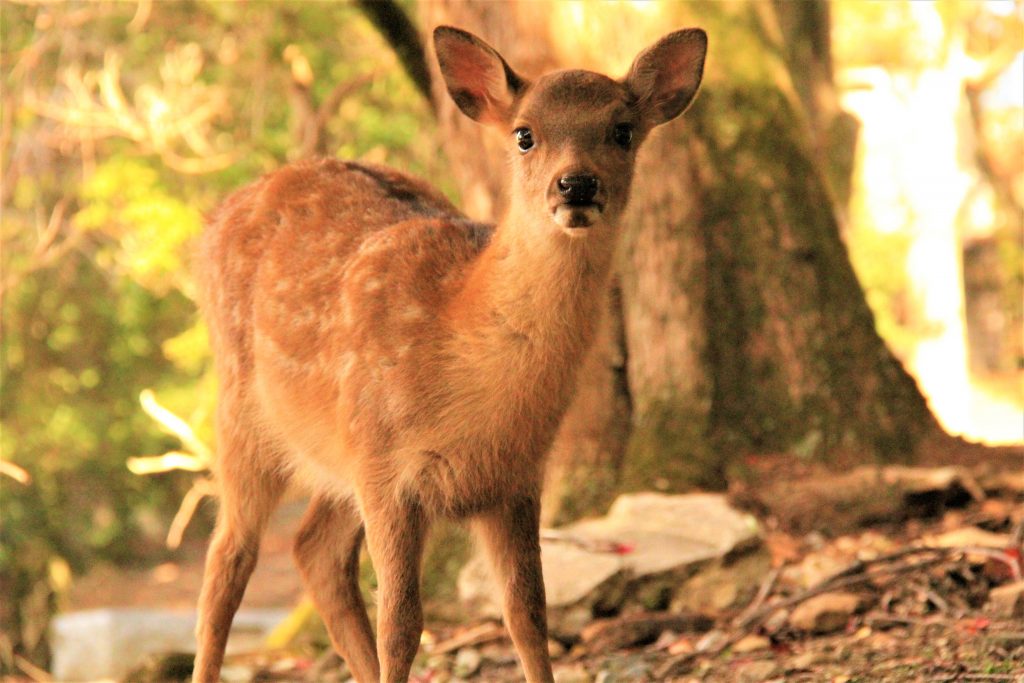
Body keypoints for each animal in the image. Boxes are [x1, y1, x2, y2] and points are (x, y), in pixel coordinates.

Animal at [192, 24, 704, 679]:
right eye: (524, 134)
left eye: (622, 130)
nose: (576, 184)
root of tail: (218, 215)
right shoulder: (387, 468)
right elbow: (402, 624)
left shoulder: (516, 478)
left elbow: (528, 614)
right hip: (244, 412)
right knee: (226, 562)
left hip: (337, 449)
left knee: (314, 550)